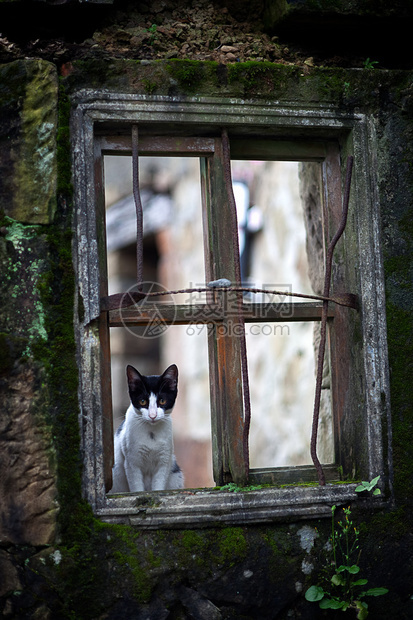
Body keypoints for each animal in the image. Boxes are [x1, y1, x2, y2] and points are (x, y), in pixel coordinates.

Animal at [108, 364, 183, 494]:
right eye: (142, 401)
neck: (151, 433)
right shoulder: (132, 462)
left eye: (162, 400)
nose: (152, 415)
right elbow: (137, 486)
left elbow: (159, 485)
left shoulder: (164, 461)